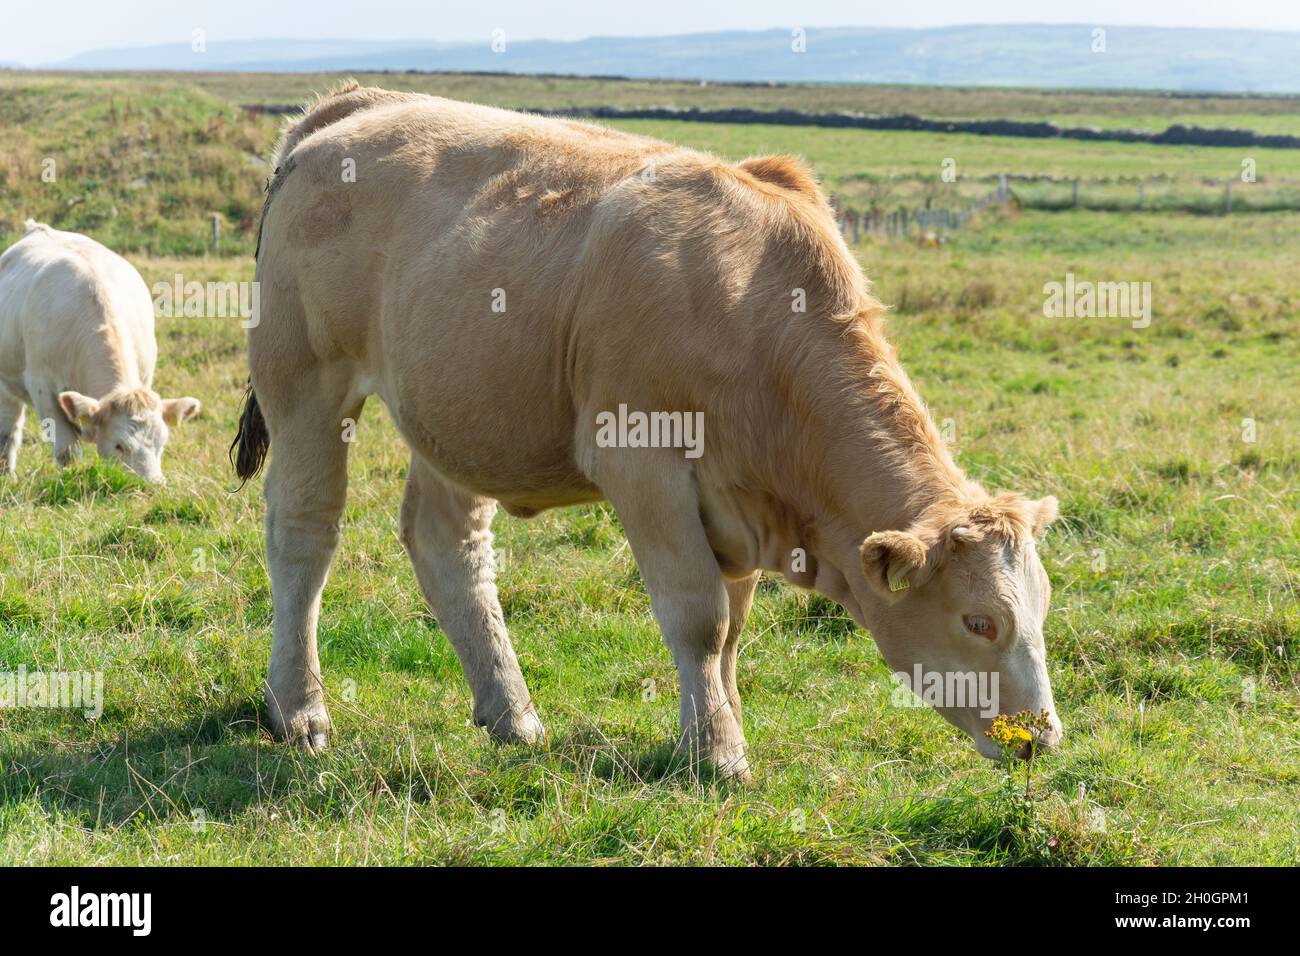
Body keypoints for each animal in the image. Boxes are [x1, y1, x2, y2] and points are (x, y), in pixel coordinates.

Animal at [0, 221, 201, 481]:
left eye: (162, 443)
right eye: (119, 445)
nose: (152, 485)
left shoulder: (145, 377)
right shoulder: (42, 387)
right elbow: (67, 450)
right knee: (9, 428)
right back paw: (7, 474)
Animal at [236, 85, 1066, 780]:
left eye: (1043, 607)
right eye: (981, 621)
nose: (1042, 739)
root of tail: (357, 103)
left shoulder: (738, 505)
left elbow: (732, 629)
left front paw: (720, 729)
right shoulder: (644, 466)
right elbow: (699, 619)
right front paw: (720, 754)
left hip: (455, 411)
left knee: (449, 546)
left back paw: (512, 714)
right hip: (304, 381)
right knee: (303, 534)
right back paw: (300, 709)